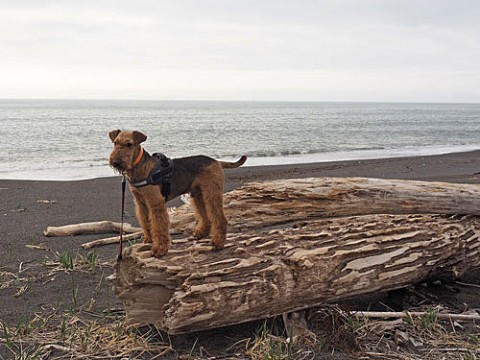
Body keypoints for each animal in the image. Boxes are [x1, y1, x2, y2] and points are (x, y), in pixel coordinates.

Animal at [109, 128, 248, 258]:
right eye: (115, 142)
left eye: (129, 144)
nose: (115, 162)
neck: (141, 167)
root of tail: (216, 161)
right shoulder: (141, 203)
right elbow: (145, 222)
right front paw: (149, 239)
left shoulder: (156, 203)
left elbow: (159, 226)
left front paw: (159, 249)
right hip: (198, 196)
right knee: (206, 217)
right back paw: (201, 234)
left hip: (212, 194)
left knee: (220, 218)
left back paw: (218, 242)